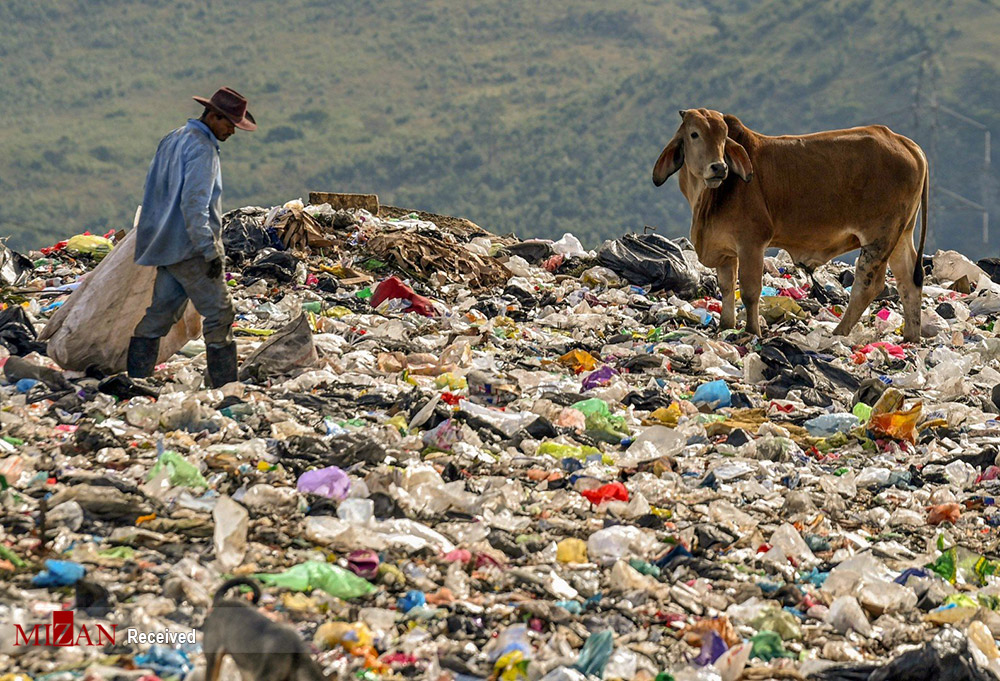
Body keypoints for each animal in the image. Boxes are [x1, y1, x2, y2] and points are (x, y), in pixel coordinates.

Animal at [652, 109, 924, 342]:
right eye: (694, 134)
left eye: (723, 136)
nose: (719, 167)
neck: (708, 196)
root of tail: (904, 142)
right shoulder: (726, 251)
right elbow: (727, 288)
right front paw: (726, 326)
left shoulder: (751, 243)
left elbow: (750, 291)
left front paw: (752, 331)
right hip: (900, 235)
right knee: (908, 280)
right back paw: (911, 336)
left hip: (879, 237)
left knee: (868, 285)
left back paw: (839, 331)